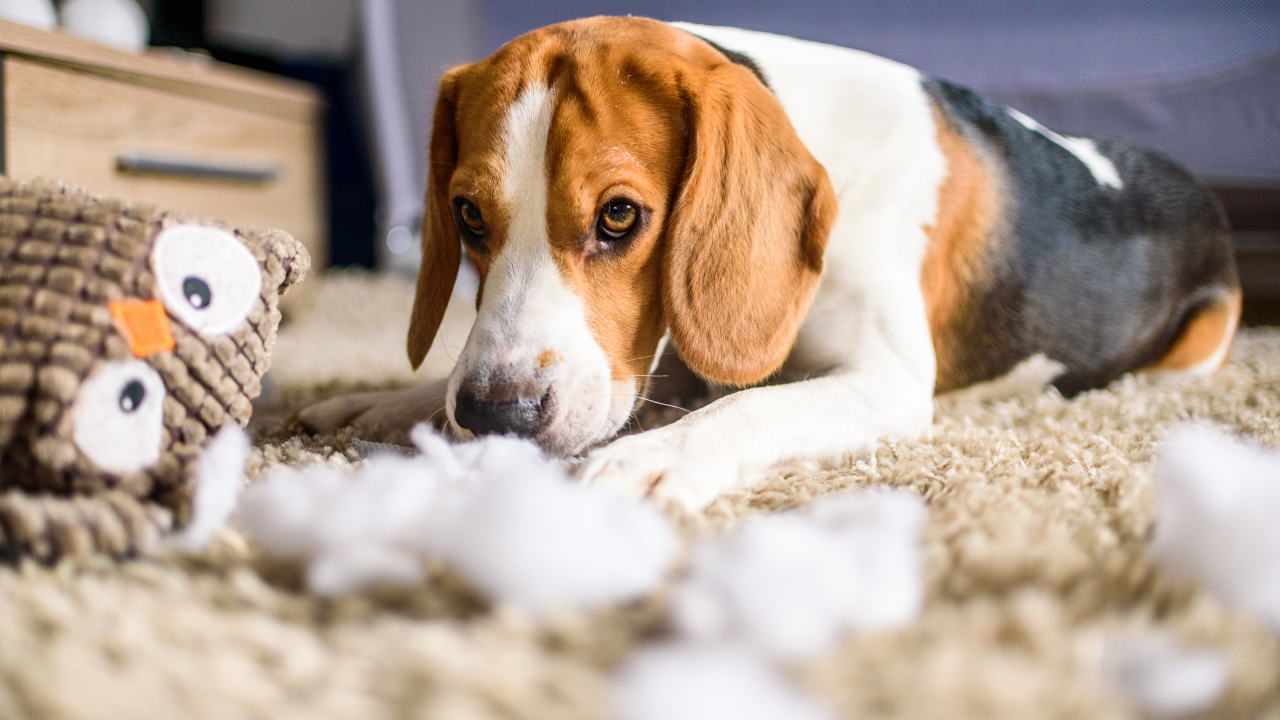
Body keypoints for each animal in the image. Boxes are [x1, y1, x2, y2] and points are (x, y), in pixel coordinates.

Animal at [299, 18, 1239, 509]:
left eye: (618, 215)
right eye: (467, 215)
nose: (498, 414)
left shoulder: (888, 381)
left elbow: (746, 407)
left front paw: (656, 456)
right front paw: (393, 402)